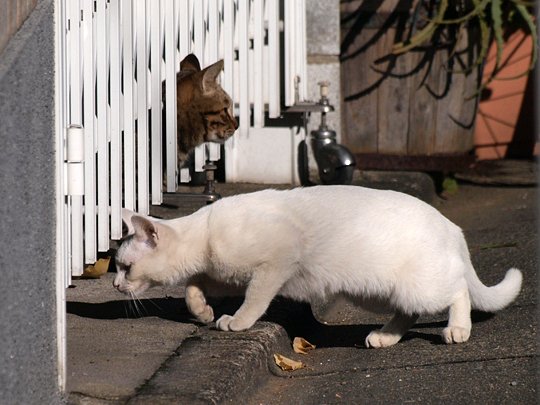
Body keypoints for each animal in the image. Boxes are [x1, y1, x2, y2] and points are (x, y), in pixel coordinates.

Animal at [112, 186, 520, 348]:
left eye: (125, 268)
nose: (115, 285)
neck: (207, 231)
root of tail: (450, 225)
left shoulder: (276, 262)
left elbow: (254, 299)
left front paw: (236, 322)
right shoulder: (226, 273)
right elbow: (194, 284)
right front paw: (201, 311)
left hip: (421, 286)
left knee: (458, 290)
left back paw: (458, 329)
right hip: (378, 293)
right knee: (409, 313)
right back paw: (384, 337)